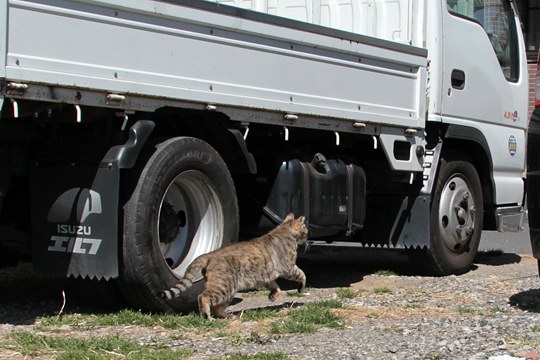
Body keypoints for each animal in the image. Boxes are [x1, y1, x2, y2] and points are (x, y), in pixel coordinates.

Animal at [160, 212, 308, 320]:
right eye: (306, 230)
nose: (308, 236)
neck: (284, 231)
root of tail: (209, 254)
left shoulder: (268, 276)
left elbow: (276, 287)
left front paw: (273, 296)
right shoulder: (289, 268)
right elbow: (302, 274)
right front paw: (301, 289)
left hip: (228, 292)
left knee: (218, 308)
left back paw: (229, 316)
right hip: (223, 287)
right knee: (203, 297)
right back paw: (207, 316)